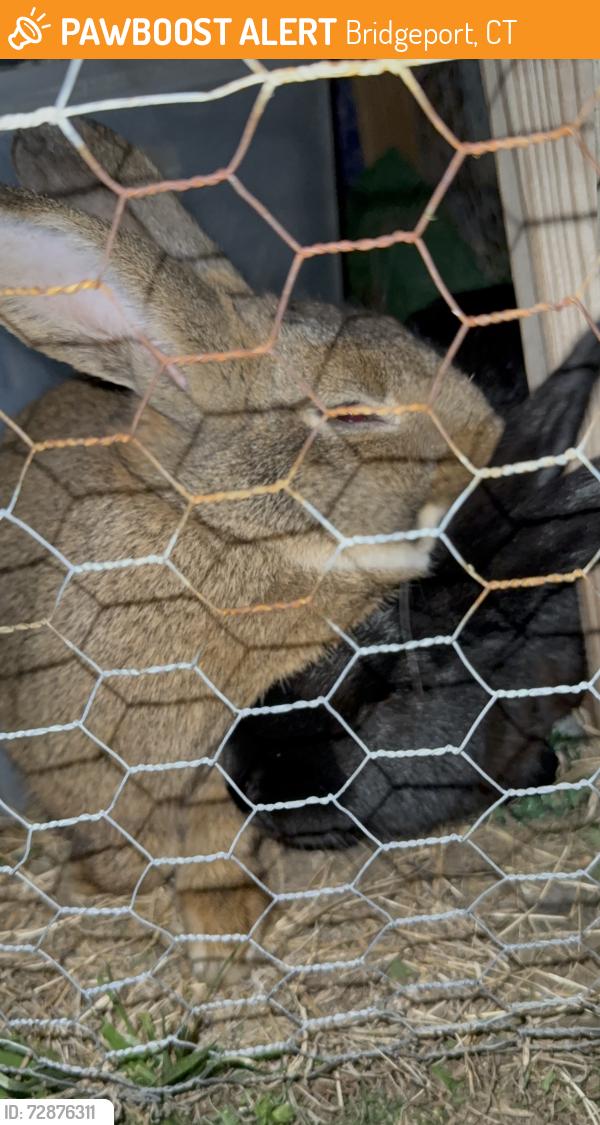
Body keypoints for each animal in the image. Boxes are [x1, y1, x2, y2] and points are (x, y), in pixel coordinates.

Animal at [0, 119, 500, 975]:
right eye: (352, 413)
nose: (489, 438)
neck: (218, 526)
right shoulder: (171, 764)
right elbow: (201, 838)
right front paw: (226, 928)